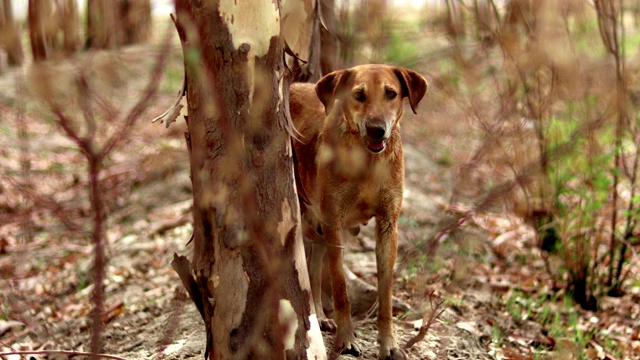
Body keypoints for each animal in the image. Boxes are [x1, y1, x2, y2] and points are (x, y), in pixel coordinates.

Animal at [288, 63, 428, 358]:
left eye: (391, 94)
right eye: (358, 95)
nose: (377, 130)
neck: (368, 162)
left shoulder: (388, 225)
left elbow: (385, 295)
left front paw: (389, 343)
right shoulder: (334, 223)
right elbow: (341, 289)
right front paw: (346, 339)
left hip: (318, 222)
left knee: (314, 267)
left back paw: (319, 315)